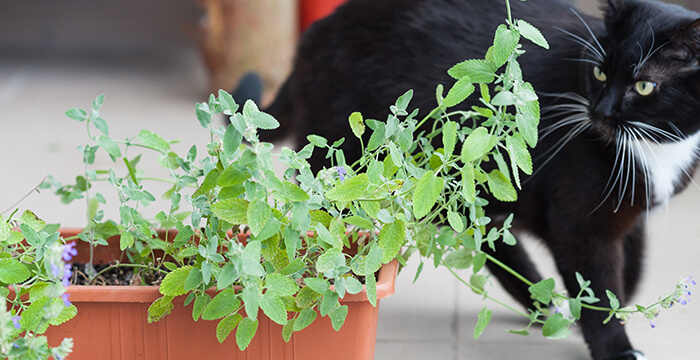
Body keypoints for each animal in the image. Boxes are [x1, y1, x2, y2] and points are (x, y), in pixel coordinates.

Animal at [242, 0, 700, 360]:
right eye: (600, 74)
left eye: (644, 85)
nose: (599, 112)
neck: (651, 148)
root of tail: (314, 35)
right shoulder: (579, 224)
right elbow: (598, 287)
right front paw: (615, 344)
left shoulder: (627, 211)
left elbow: (631, 264)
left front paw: (620, 302)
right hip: (340, 160)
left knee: (491, 236)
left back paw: (542, 303)